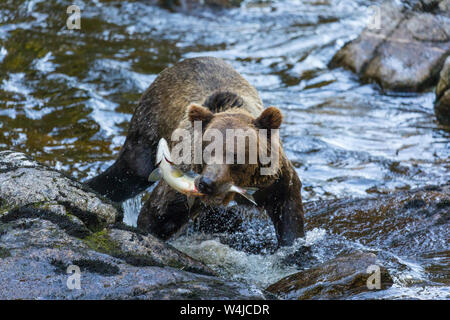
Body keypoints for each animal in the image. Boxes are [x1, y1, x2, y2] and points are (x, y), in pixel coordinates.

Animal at [87, 57, 306, 245]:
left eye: (236, 156)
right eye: (205, 150)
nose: (206, 183)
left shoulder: (275, 181)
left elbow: (289, 214)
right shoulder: (181, 178)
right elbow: (157, 214)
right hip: (149, 127)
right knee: (129, 172)